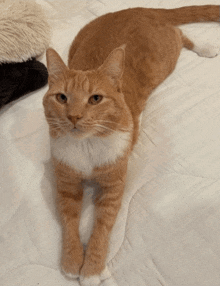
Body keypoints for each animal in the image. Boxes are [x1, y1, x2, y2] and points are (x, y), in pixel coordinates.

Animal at [43, 4, 220, 286]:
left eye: (95, 99)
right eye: (62, 97)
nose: (74, 116)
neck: (87, 146)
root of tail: (141, 8)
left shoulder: (114, 185)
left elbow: (102, 227)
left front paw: (93, 269)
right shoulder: (66, 182)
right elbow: (70, 222)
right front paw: (72, 261)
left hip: (165, 55)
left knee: (180, 34)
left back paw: (205, 47)